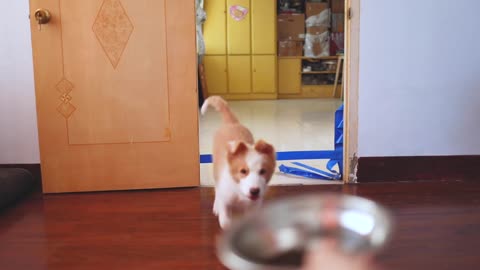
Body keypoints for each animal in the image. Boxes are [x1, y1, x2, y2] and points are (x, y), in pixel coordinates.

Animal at [201, 96, 276, 229]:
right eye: (243, 171)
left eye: (263, 171)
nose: (254, 191)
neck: (239, 191)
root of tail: (231, 123)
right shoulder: (225, 199)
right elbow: (225, 222)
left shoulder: (253, 207)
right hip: (216, 168)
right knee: (216, 188)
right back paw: (216, 205)